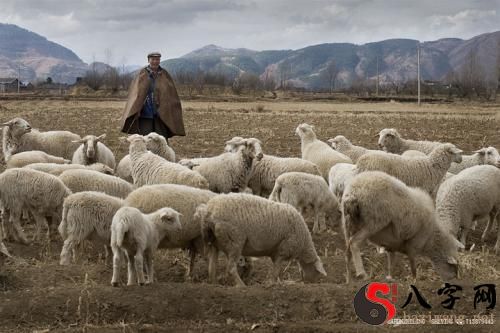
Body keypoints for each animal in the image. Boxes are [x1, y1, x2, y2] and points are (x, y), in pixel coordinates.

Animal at [197, 192, 326, 286]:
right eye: (317, 272)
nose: (313, 283)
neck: (303, 243)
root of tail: (209, 211)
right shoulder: (283, 250)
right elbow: (276, 271)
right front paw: (272, 284)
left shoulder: (276, 253)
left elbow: (276, 270)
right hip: (234, 241)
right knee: (231, 269)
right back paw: (242, 286)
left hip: (214, 243)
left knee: (211, 268)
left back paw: (214, 285)